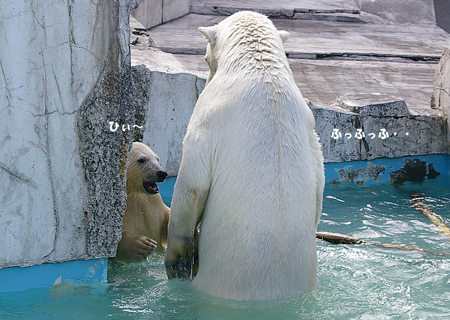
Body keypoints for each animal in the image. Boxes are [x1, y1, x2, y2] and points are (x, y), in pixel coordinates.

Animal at [165, 10, 324, 300]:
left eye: (205, 58)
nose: (206, 75)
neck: (261, 68)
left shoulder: (208, 115)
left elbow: (191, 186)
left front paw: (177, 262)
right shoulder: (310, 125)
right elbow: (319, 185)